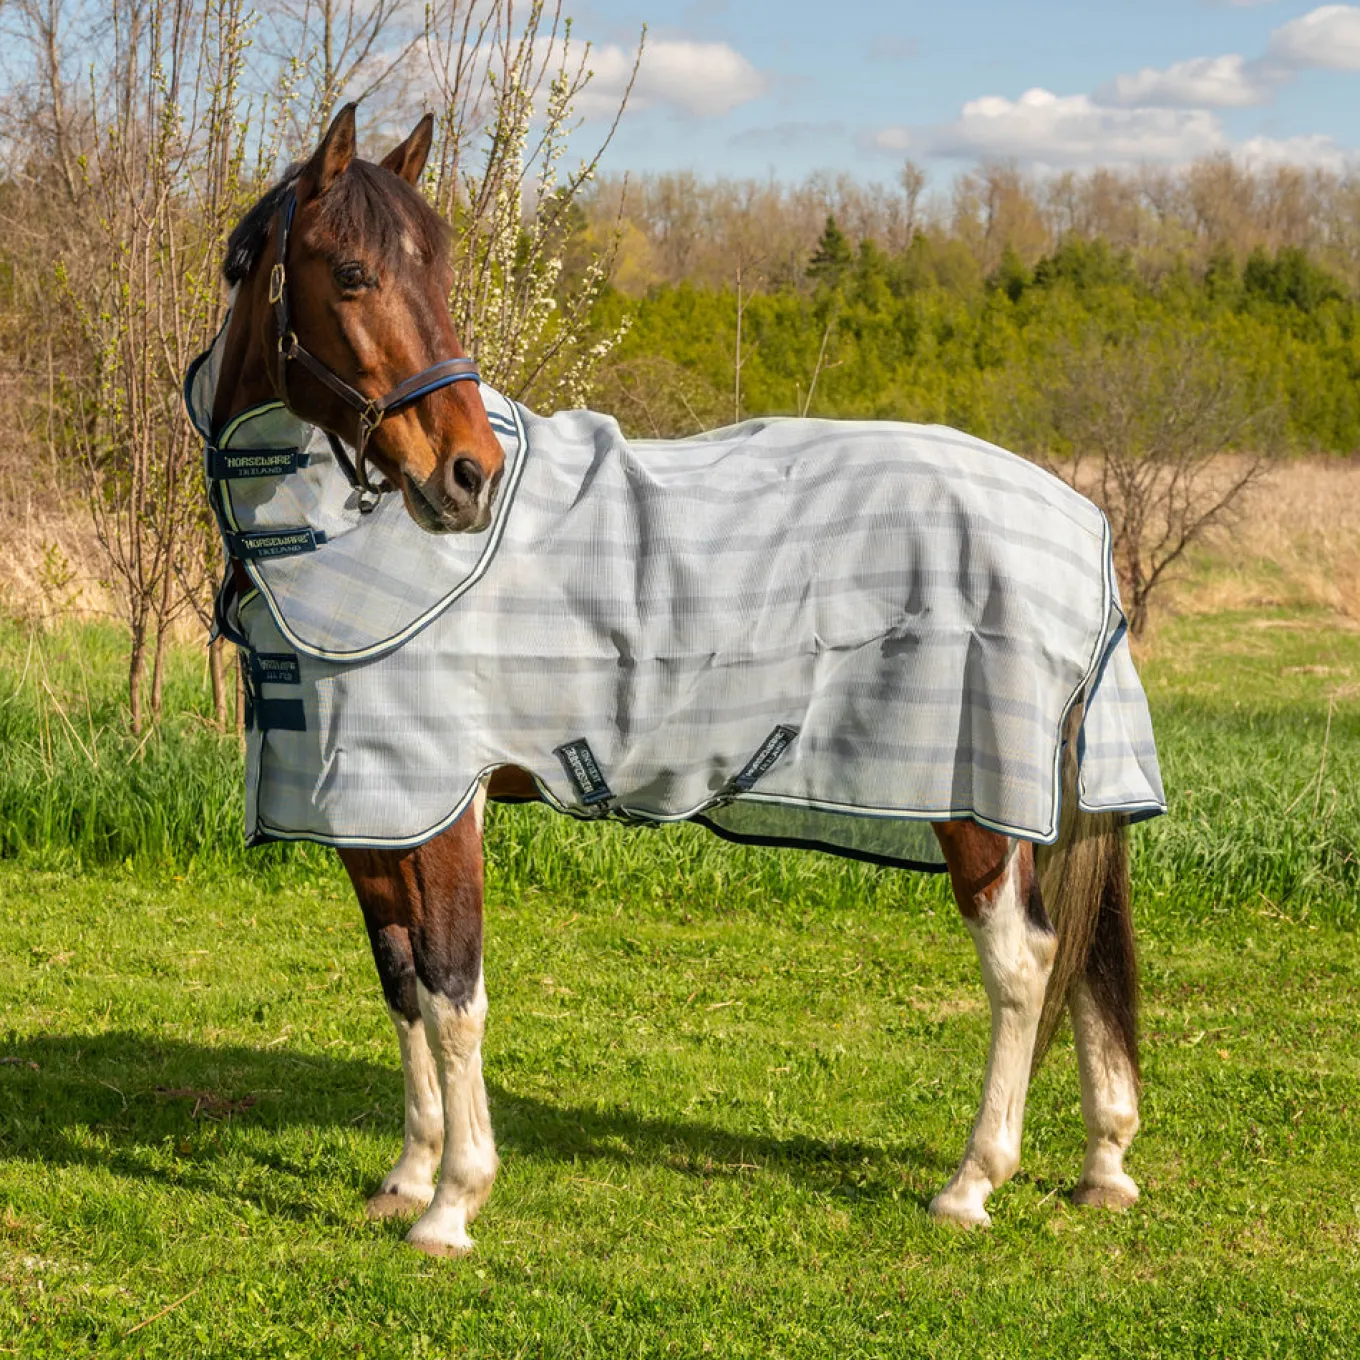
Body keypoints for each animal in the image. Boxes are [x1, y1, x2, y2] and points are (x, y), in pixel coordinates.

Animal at [205, 104, 1146, 1259]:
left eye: (442, 269)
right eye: (350, 274)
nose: (468, 478)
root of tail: (1075, 516)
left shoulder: (440, 807)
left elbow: (455, 991)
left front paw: (454, 1201)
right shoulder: (365, 811)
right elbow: (402, 984)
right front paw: (409, 1172)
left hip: (976, 801)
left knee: (1023, 965)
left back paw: (973, 1180)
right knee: (1084, 959)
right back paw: (1103, 1163)